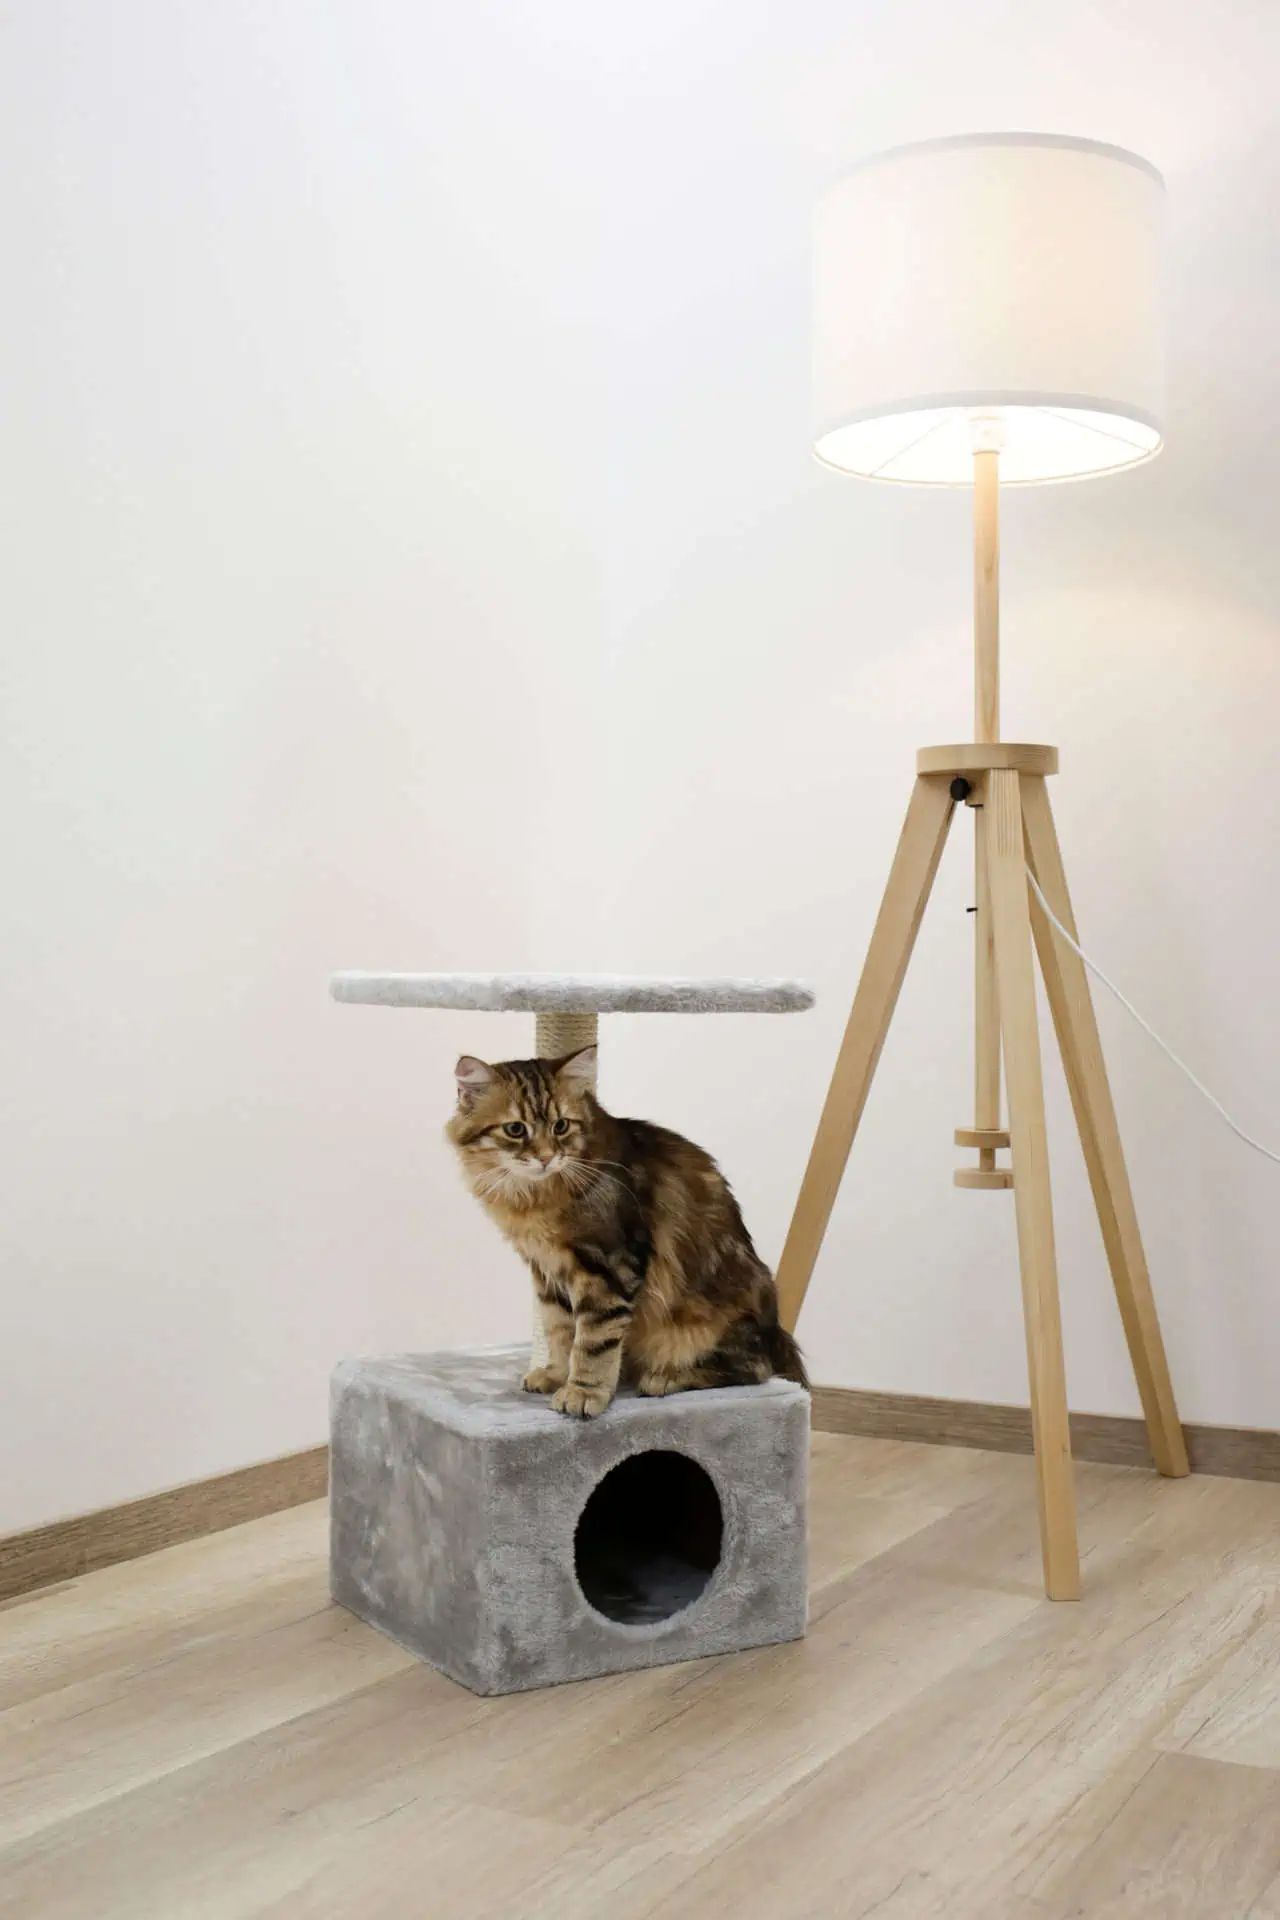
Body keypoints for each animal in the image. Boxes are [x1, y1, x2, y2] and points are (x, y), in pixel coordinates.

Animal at [446, 1045, 807, 1418]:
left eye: (561, 1126)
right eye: (516, 1129)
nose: (546, 1158)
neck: (535, 1198)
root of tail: (777, 1331)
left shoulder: (608, 1266)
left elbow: (592, 1342)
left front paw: (583, 1392)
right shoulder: (546, 1271)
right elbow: (559, 1330)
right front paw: (556, 1375)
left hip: (709, 1324)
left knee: (755, 1370)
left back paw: (663, 1378)